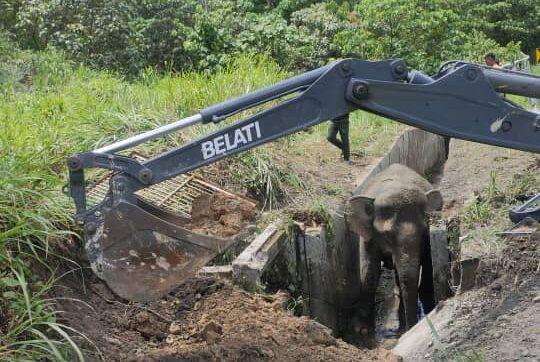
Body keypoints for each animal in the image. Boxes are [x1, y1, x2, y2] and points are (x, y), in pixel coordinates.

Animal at [346, 164, 442, 334]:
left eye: (424, 231)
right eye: (387, 234)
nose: (409, 329)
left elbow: (426, 260)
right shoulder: (368, 235)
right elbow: (370, 268)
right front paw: (360, 330)